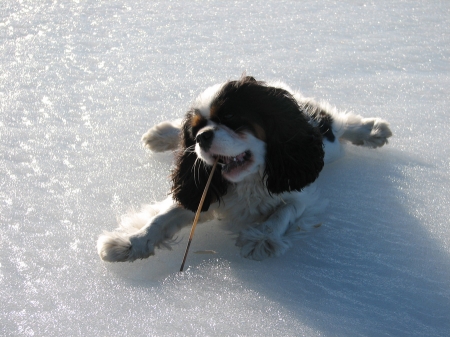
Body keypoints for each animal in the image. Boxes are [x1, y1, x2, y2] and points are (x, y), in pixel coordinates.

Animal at [96, 76, 392, 262]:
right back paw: (162, 134)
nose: (201, 137)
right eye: (195, 130)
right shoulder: (202, 194)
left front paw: (262, 239)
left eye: (230, 117)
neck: (246, 181)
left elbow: (283, 213)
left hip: (330, 146)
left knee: (340, 125)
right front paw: (131, 242)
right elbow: (160, 218)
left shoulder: (302, 196)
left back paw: (372, 130)